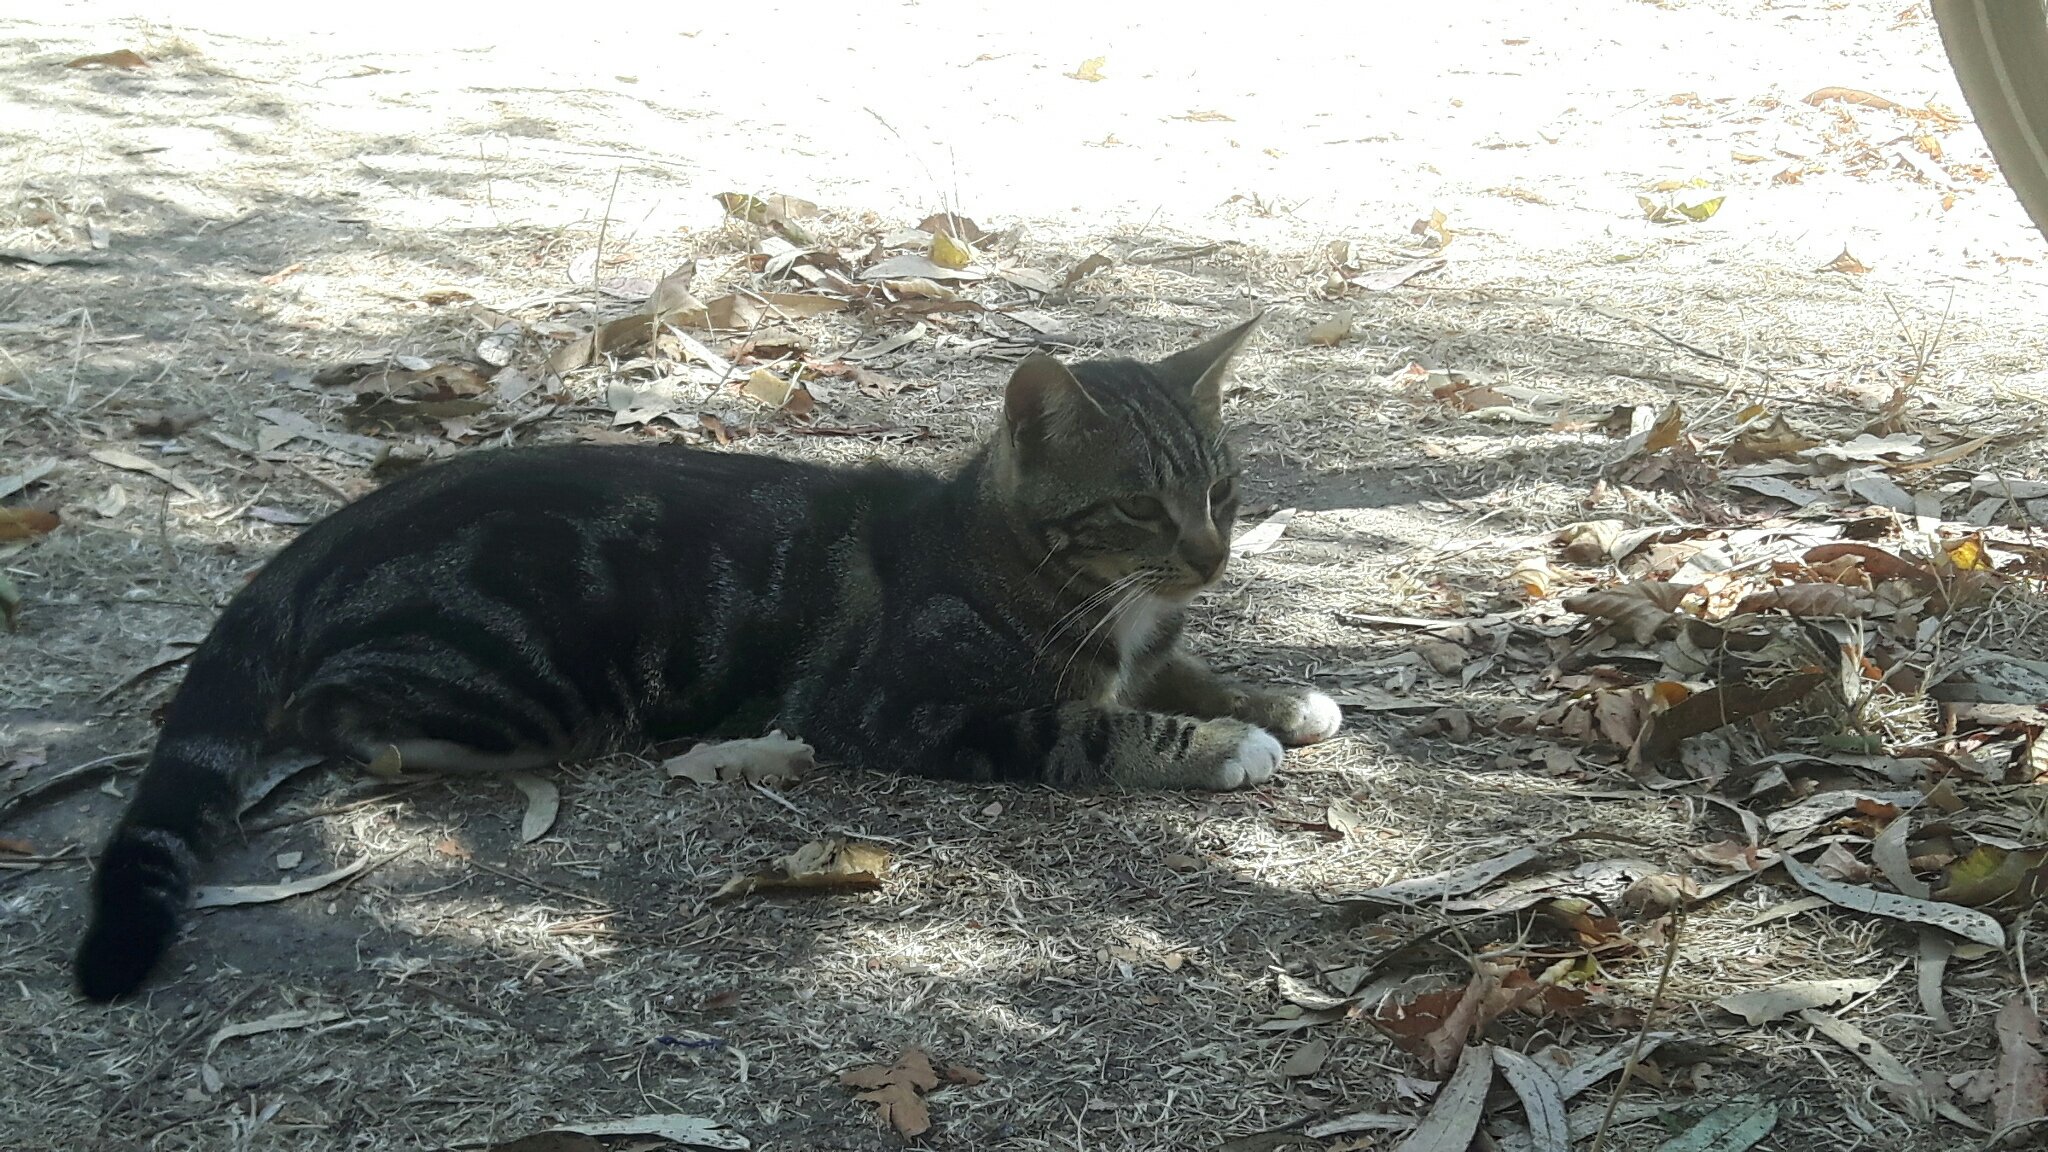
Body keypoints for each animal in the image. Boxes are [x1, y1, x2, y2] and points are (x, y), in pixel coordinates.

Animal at [74, 314, 1341, 1002]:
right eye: (1136, 507)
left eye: (1223, 491)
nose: (1212, 556)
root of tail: (331, 531)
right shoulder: (903, 708)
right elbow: (1095, 723)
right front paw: (1223, 745)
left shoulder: (1142, 645)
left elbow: (1179, 672)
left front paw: (1276, 699)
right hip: (523, 681)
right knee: (332, 710)